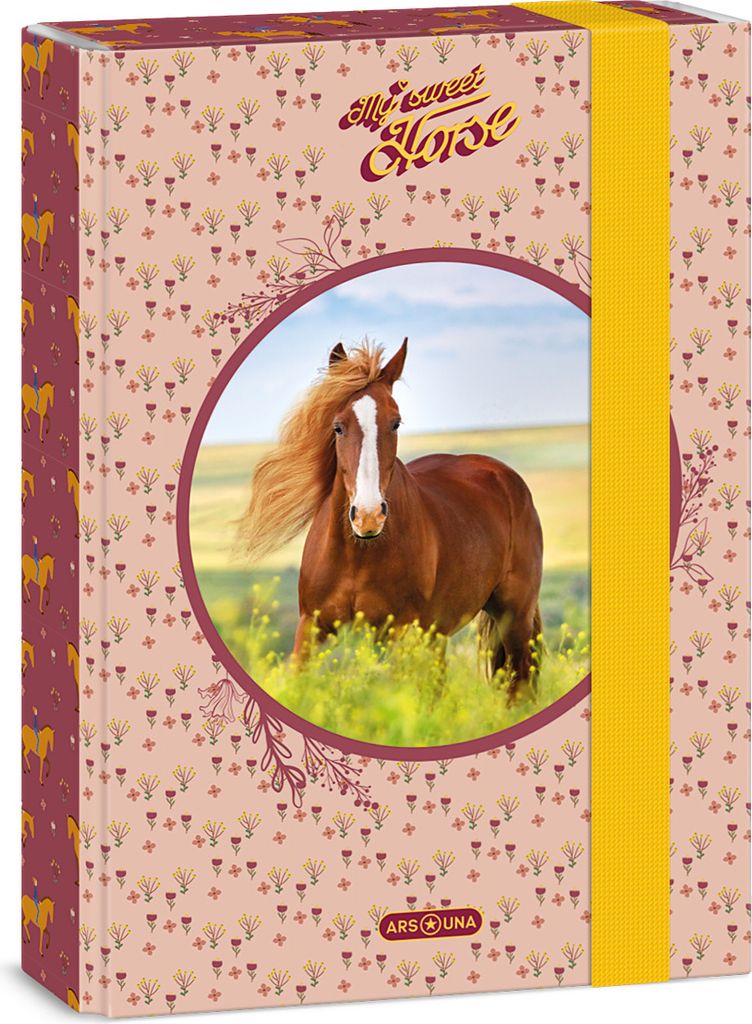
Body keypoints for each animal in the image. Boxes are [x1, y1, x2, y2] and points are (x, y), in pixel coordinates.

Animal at [239, 340, 543, 703]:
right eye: (338, 426)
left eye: (395, 423)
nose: (368, 516)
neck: (358, 554)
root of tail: (503, 475)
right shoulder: (311, 627)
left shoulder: (400, 633)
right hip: (438, 635)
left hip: (514, 618)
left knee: (519, 688)